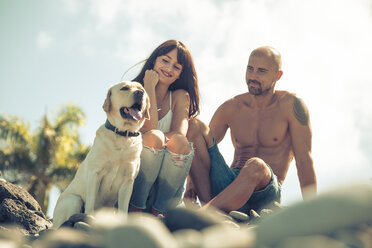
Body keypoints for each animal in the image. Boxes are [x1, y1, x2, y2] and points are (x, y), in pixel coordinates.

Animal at [52, 81, 150, 229]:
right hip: (74, 199)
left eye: (141, 89)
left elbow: (123, 209)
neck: (122, 136)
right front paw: (88, 218)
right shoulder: (95, 174)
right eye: (124, 88)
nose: (140, 93)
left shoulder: (128, 181)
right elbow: (91, 202)